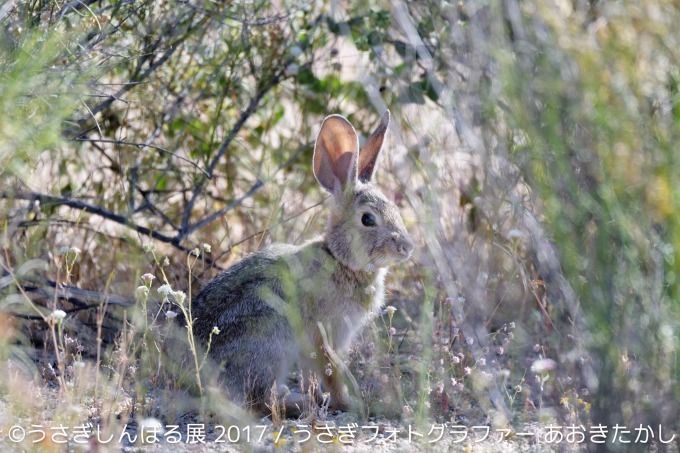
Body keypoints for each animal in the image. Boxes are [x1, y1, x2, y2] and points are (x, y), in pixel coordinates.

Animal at [191, 110, 414, 414]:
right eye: (368, 219)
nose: (407, 248)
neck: (339, 258)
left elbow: (313, 375)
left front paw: (325, 400)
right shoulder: (324, 336)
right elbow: (331, 371)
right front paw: (347, 403)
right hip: (271, 340)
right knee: (259, 401)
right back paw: (296, 403)